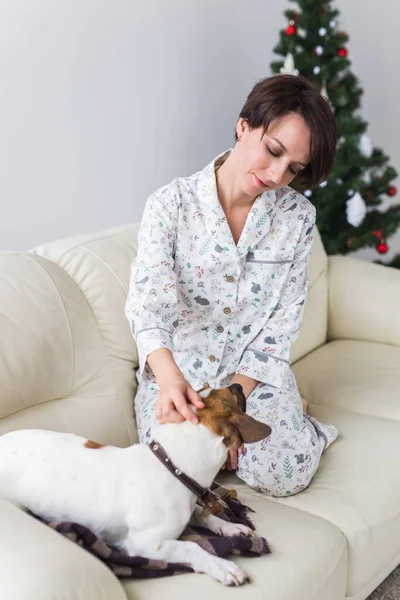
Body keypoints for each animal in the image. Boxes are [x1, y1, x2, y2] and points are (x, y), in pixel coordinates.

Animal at [0, 384, 272, 584]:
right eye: (232, 395)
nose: (239, 384)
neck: (171, 465)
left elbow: (203, 515)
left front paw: (230, 527)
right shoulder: (146, 544)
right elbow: (192, 548)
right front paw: (222, 566)